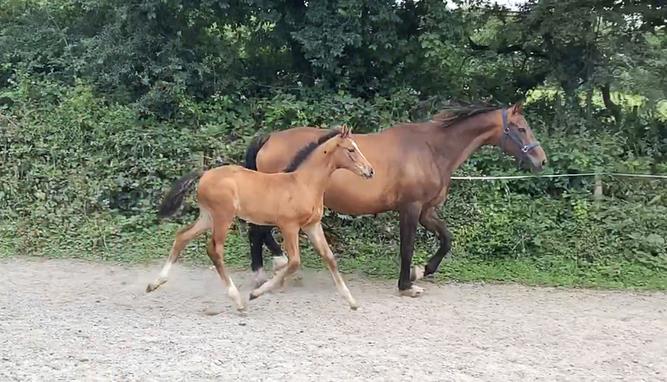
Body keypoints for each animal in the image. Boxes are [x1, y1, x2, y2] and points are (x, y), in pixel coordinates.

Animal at [147, 127, 374, 312]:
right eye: (351, 150)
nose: (370, 171)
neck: (303, 183)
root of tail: (204, 174)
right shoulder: (289, 226)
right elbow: (294, 262)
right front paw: (256, 294)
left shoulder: (312, 225)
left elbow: (329, 258)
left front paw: (352, 301)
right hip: (222, 217)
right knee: (214, 250)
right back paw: (238, 300)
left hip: (207, 216)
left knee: (182, 236)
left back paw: (155, 283)